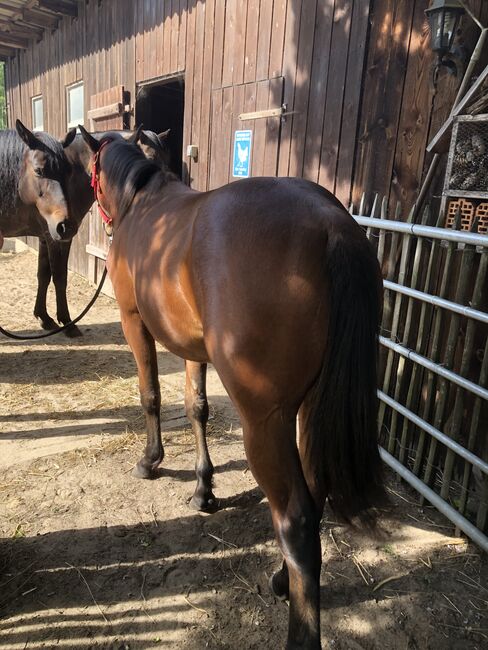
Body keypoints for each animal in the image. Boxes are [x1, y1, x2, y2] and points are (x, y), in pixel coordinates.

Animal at [80, 126, 386, 648]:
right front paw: (204, 490)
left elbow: (151, 395)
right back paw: (282, 579)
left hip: (264, 421)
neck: (144, 203)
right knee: (314, 494)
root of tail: (331, 225)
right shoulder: (192, 347)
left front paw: (150, 461)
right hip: (309, 411)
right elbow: (197, 406)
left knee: (297, 522)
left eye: (93, 169)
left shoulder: (134, 322)